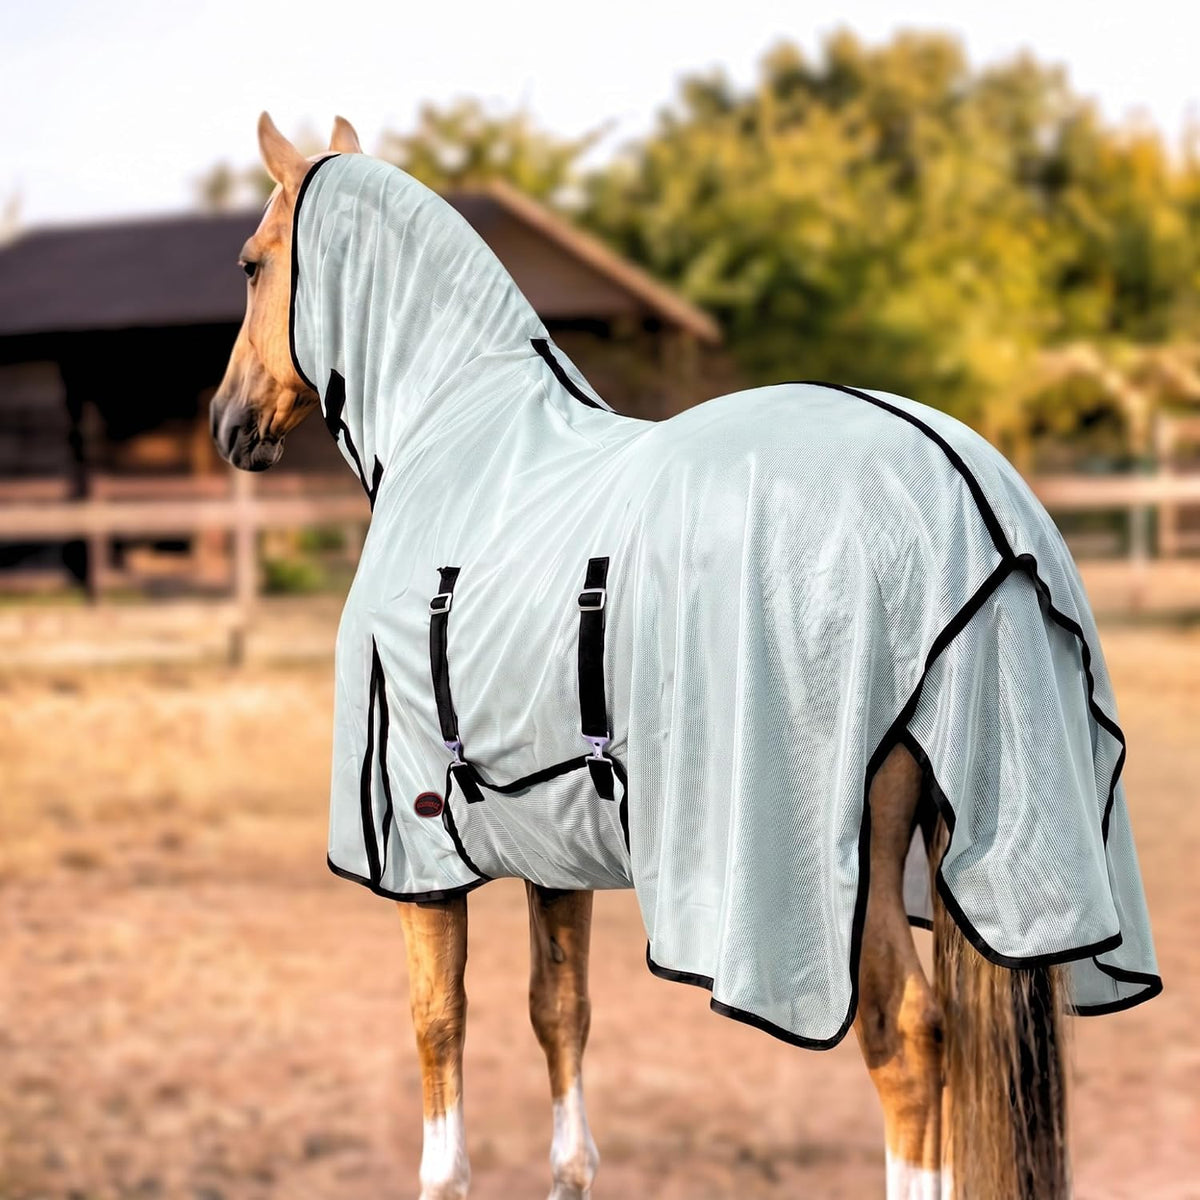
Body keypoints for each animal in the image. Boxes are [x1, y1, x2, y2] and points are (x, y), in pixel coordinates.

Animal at [209, 112, 1160, 1200]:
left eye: (250, 264)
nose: (228, 423)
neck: (460, 440)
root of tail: (974, 504)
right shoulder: (551, 836)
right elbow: (560, 1012)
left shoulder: (418, 846)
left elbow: (437, 1026)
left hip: (851, 870)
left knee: (906, 1039)